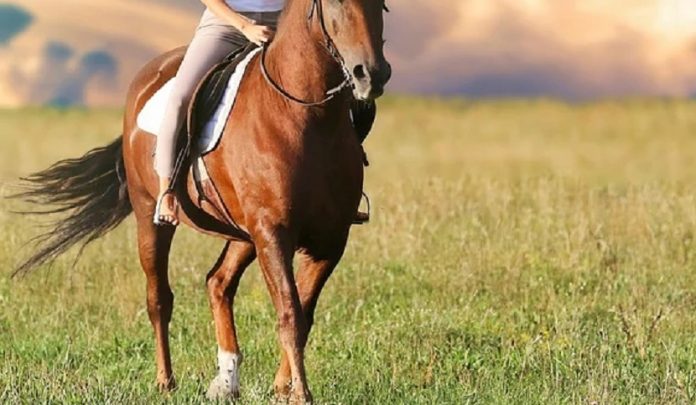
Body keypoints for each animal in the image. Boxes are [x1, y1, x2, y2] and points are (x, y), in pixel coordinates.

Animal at [13, 0, 390, 402]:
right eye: (335, 4)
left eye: (381, 6)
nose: (371, 74)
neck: (307, 116)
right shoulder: (273, 233)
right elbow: (289, 314)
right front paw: (301, 394)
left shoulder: (329, 240)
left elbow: (303, 313)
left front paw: (282, 389)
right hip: (151, 218)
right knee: (159, 298)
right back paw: (165, 381)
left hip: (243, 234)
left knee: (218, 283)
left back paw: (226, 381)